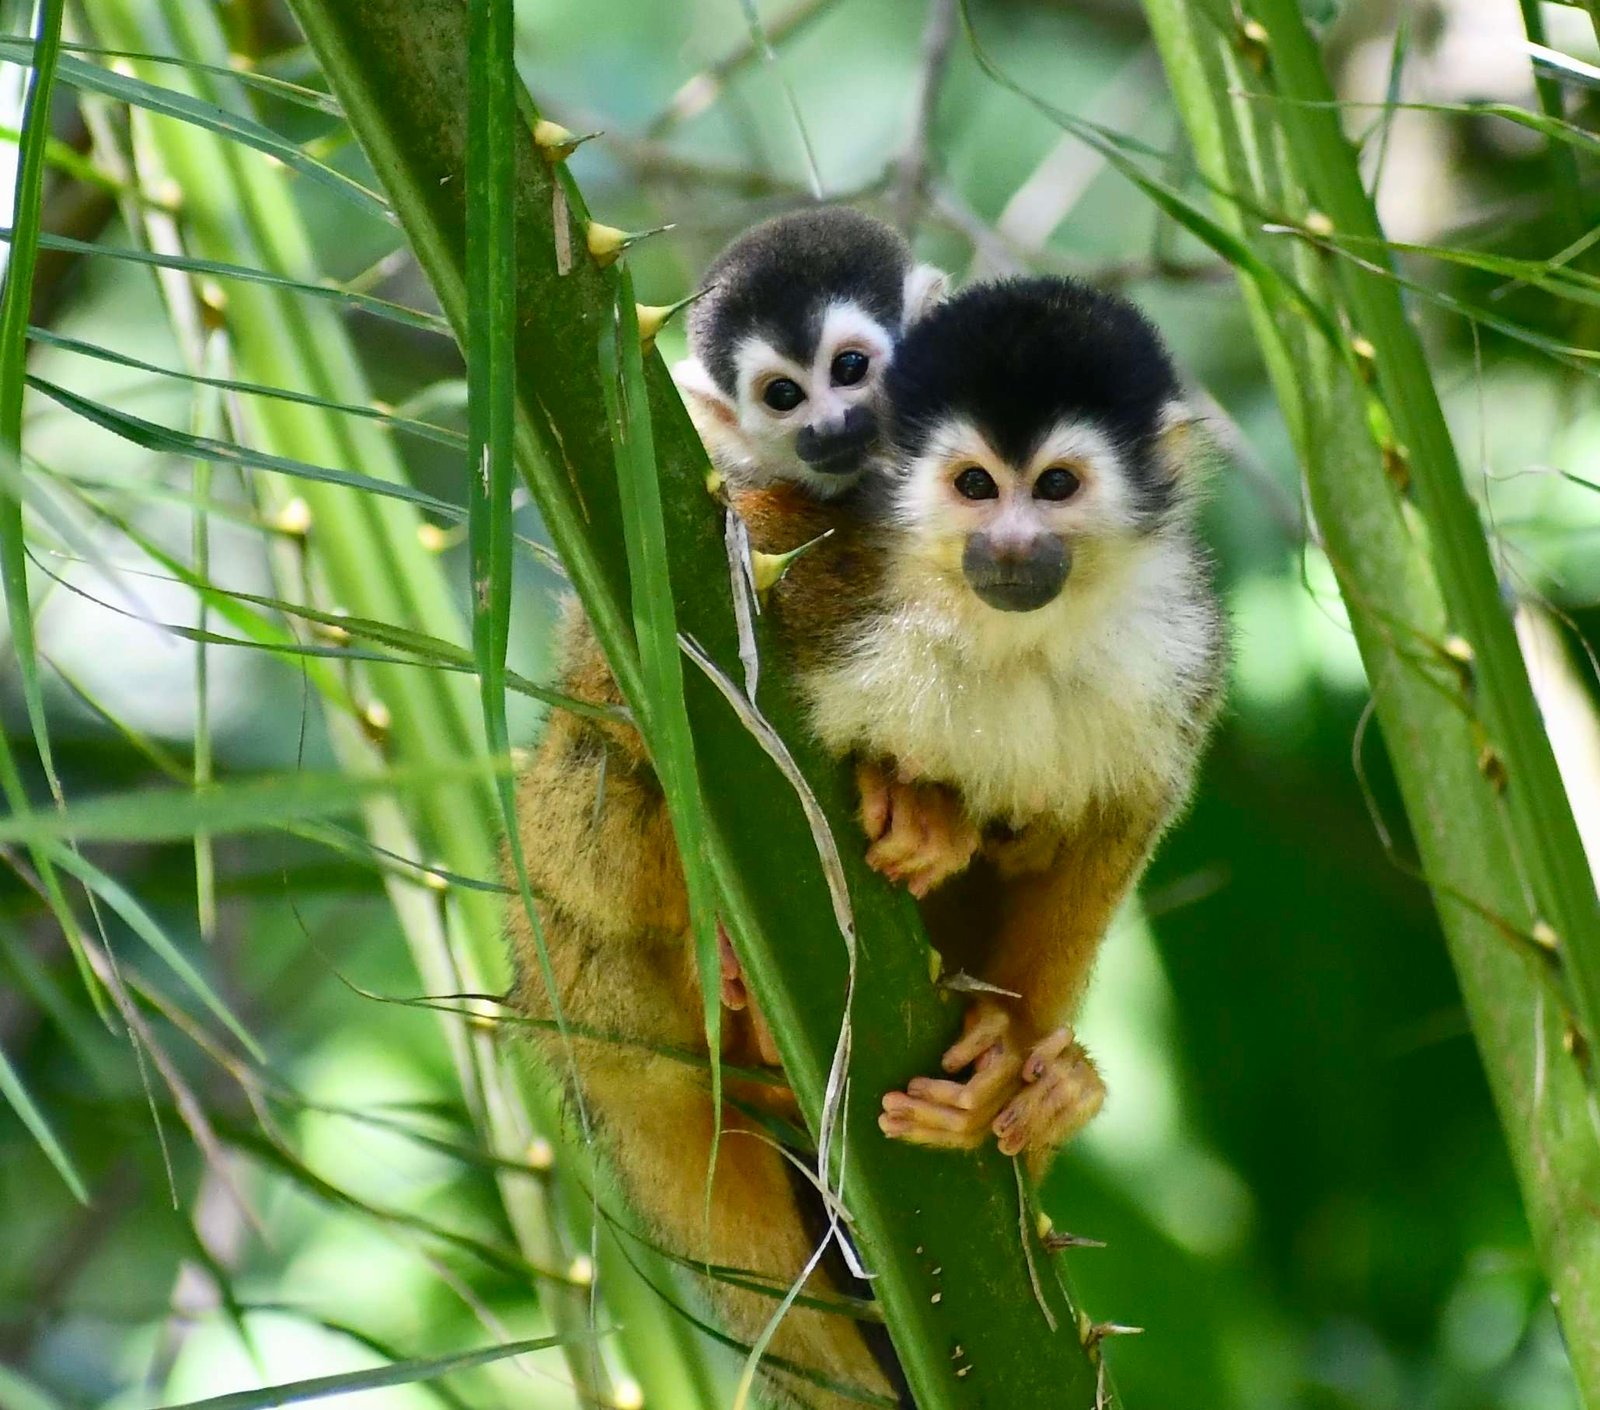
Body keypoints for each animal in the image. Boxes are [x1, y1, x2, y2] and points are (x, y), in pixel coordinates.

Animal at [505, 203, 940, 1401]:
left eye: (852, 366)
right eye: (783, 394)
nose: (835, 422)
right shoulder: (737, 493)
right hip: (577, 881)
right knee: (603, 747)